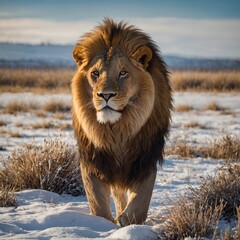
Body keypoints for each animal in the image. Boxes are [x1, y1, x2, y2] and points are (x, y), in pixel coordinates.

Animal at [71, 18, 172, 227]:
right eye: (95, 73)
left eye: (123, 73)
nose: (105, 95)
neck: (117, 130)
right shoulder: (93, 159)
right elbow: (98, 204)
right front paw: (103, 224)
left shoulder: (145, 157)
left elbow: (141, 202)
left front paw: (127, 221)